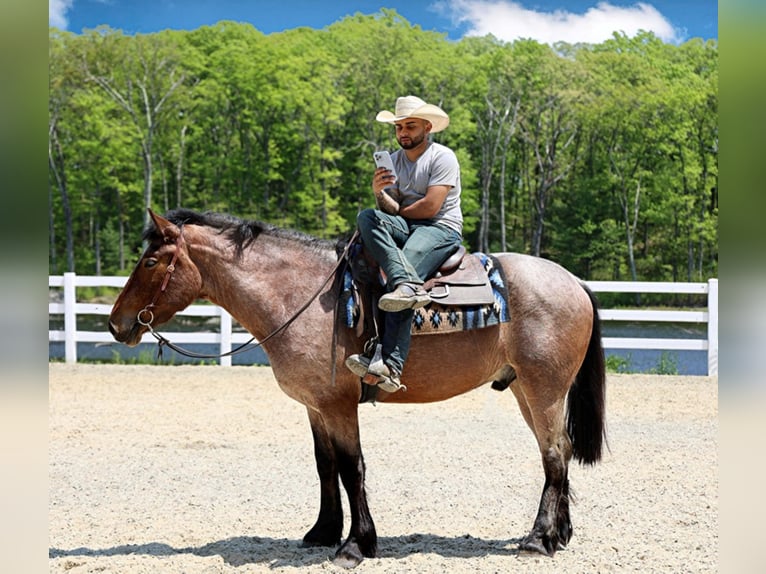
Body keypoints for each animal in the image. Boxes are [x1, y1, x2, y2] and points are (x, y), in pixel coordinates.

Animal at [108, 209, 608, 568]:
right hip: (526, 389)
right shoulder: (315, 406)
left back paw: (539, 539)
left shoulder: (339, 405)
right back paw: (559, 534)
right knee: (558, 451)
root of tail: (574, 282)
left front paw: (355, 545)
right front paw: (323, 532)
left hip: (544, 389)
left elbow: (353, 468)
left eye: (150, 261)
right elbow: (325, 465)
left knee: (553, 453)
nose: (116, 324)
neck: (305, 296)